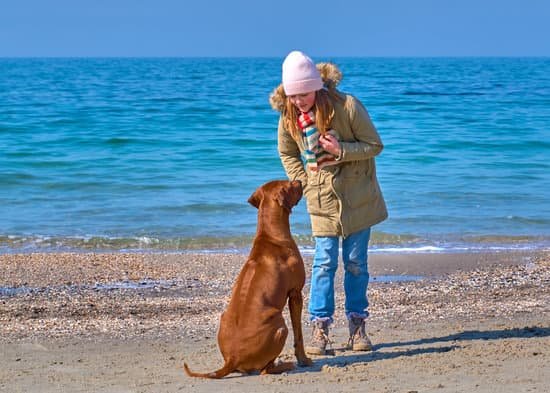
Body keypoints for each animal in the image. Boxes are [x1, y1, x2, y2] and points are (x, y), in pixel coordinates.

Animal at [184, 178, 312, 376]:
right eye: (289, 184)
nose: (299, 180)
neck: (270, 234)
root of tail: (233, 358)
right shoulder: (296, 293)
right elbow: (299, 335)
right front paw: (303, 360)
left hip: (225, 319)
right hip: (280, 326)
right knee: (266, 370)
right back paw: (285, 365)